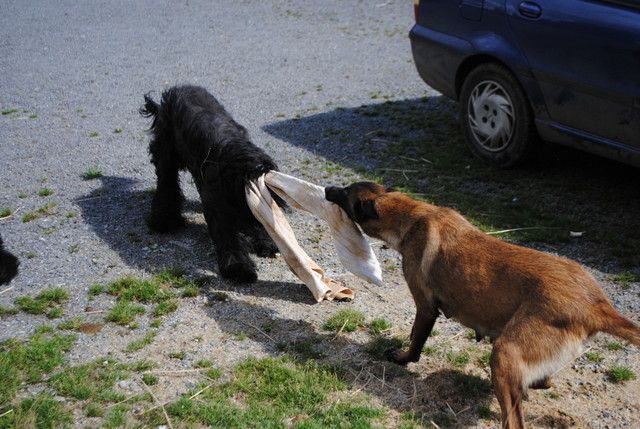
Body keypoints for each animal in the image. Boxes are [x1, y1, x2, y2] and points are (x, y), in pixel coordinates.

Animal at [141, 85, 282, 282]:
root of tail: (172, 92)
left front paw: (266, 241)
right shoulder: (218, 205)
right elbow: (227, 236)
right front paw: (239, 268)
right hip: (166, 152)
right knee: (166, 184)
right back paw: (164, 221)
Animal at [324, 181, 640, 428]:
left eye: (345, 193)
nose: (328, 189)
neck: (414, 216)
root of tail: (595, 304)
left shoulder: (425, 307)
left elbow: (415, 342)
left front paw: (402, 358)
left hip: (504, 354)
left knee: (514, 420)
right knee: (543, 381)